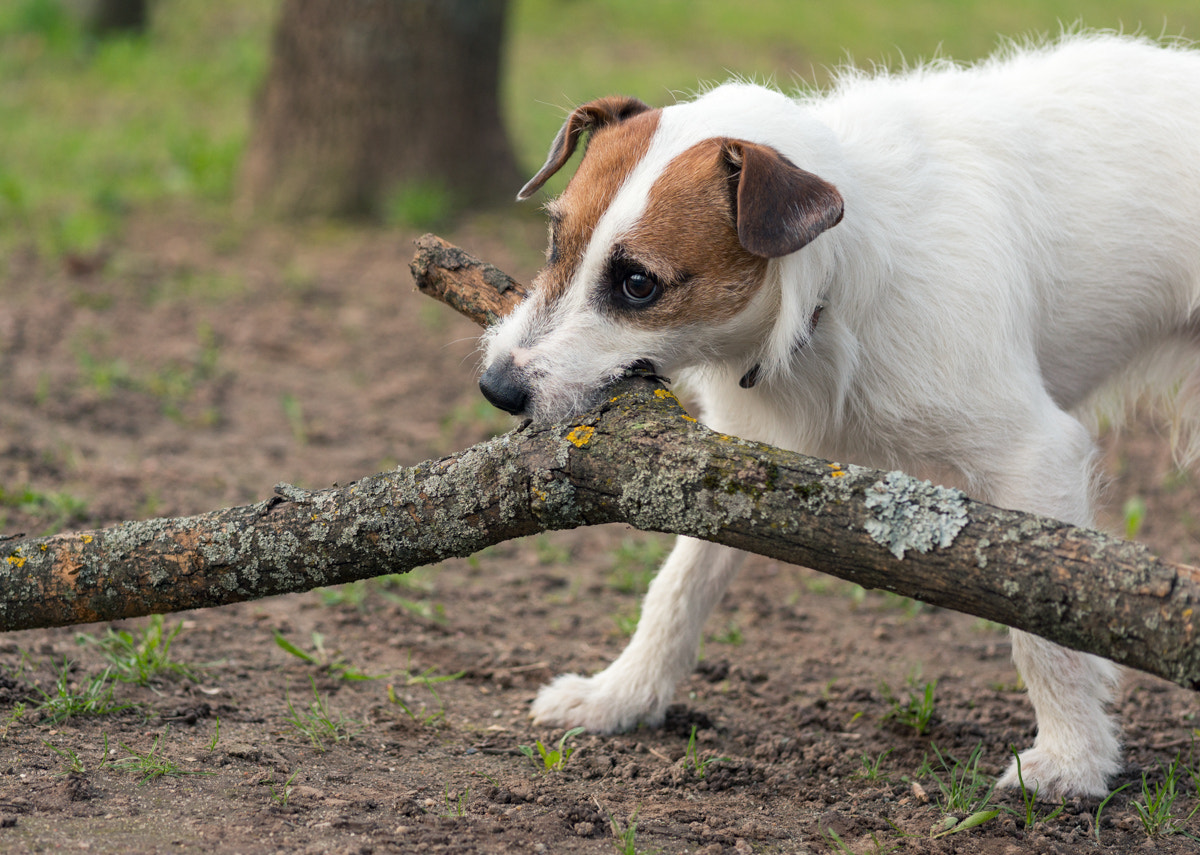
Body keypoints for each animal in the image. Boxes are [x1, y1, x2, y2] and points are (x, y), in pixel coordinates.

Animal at [475, 31, 1200, 792]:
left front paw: (1072, 758)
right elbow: (678, 586)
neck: (833, 278)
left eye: (638, 284)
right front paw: (623, 695)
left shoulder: (1034, 454)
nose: (497, 387)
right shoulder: (728, 463)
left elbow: (1045, 625)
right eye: (556, 244)